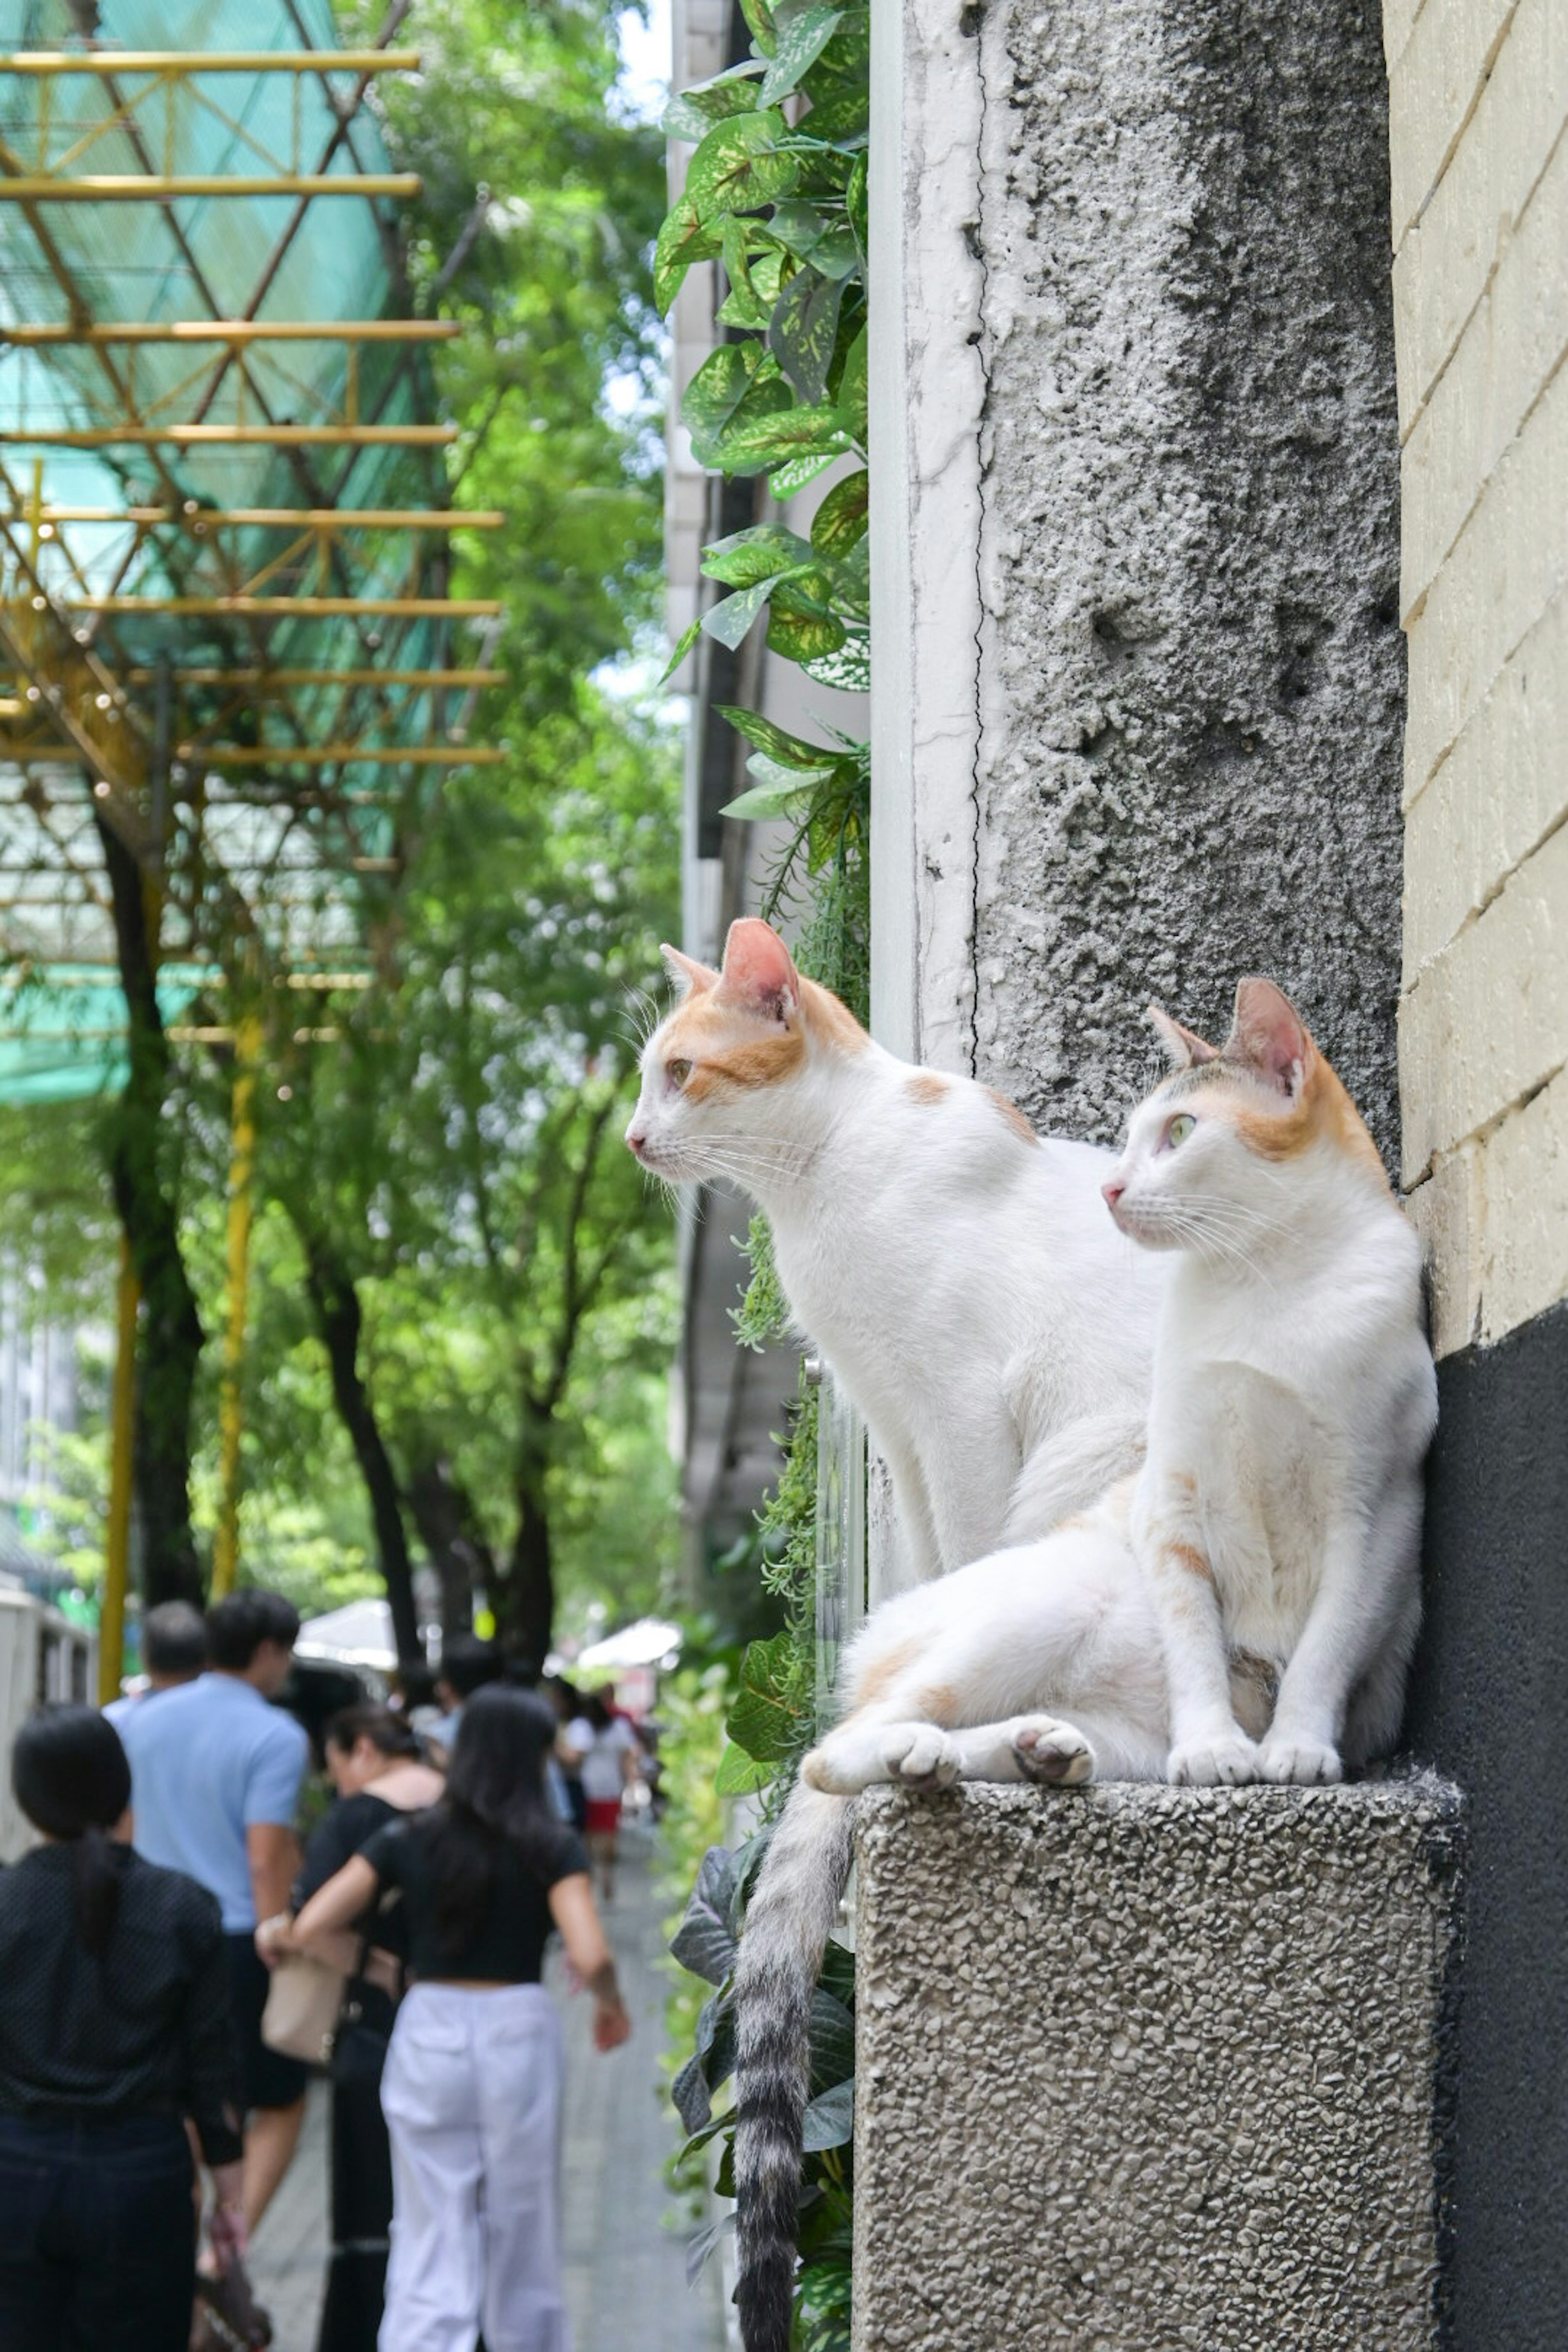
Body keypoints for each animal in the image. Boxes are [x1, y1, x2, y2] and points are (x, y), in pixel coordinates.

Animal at [625, 917, 1166, 1580]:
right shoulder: (893, 1419)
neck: (814, 1179)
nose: (632, 1138)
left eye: (680, 1072)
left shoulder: (962, 1406)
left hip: (1087, 1452)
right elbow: (927, 1551)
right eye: (649, 1078)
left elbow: (967, 1551)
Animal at [728, 973, 1439, 2352]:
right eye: (1126, 1137)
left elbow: (1325, 1647)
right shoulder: (1173, 1505)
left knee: (962, 1743)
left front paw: (1293, 1751)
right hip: (1024, 1615)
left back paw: (1028, 1756)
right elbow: (1199, 1643)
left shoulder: (1374, 1517)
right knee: (851, 1747)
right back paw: (911, 1751)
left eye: (1179, 1134)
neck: (1265, 1293)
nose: (1112, 1191)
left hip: (1101, 1722)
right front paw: (1227, 1751)